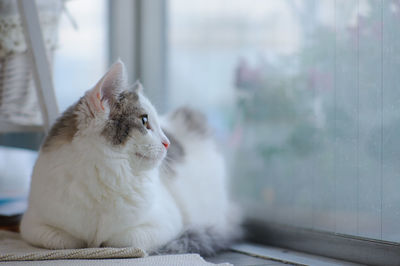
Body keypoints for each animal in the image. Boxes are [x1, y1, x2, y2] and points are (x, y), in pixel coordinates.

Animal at [20, 60, 242, 256]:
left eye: (158, 124)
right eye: (144, 121)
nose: (168, 143)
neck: (107, 174)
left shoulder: (167, 223)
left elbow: (122, 239)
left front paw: (101, 243)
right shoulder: (32, 224)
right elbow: (66, 241)